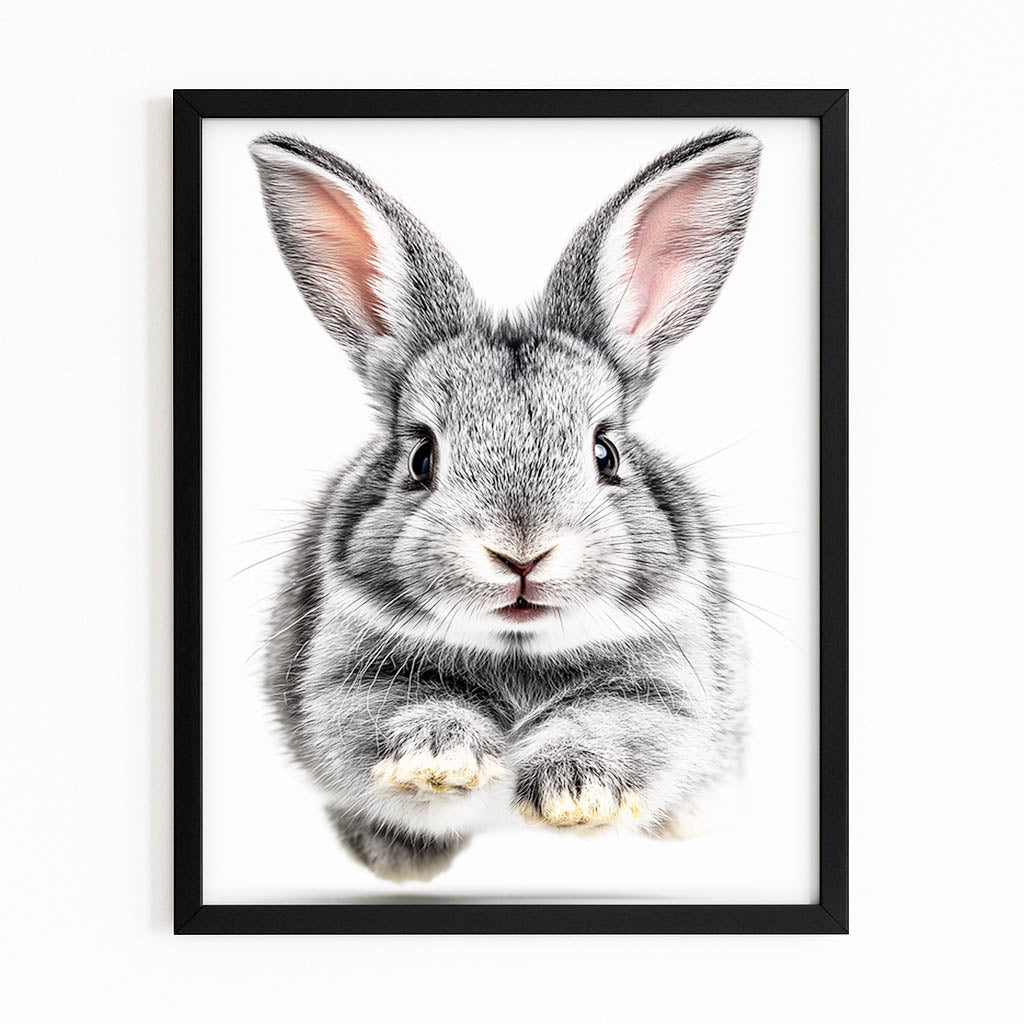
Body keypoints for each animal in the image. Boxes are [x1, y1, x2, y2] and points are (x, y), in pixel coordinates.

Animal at [249, 127, 761, 881]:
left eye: (606, 453)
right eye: (420, 458)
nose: (522, 553)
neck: (517, 649)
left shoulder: (666, 690)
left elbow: (613, 723)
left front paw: (576, 797)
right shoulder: (343, 685)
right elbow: (398, 717)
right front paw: (438, 762)